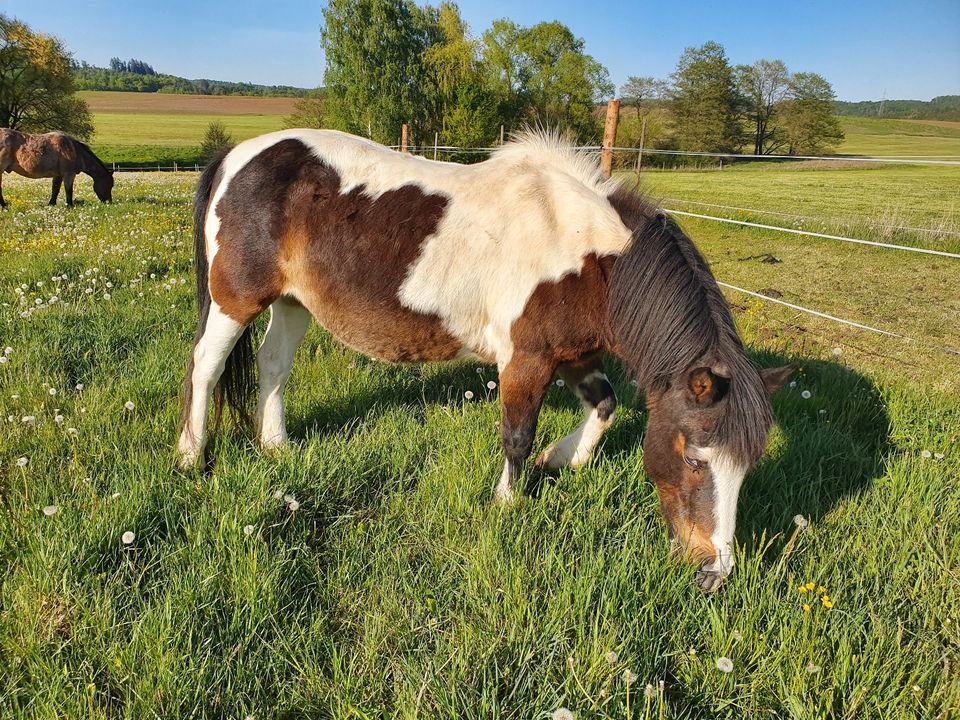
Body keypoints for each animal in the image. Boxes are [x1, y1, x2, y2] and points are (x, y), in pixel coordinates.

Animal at [176, 129, 792, 592]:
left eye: (747, 466)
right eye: (694, 459)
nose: (714, 571)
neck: (585, 254)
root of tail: (235, 154)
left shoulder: (573, 356)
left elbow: (606, 405)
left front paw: (562, 459)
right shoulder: (527, 360)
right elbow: (517, 435)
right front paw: (507, 503)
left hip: (293, 301)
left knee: (273, 366)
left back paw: (275, 446)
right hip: (236, 298)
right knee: (205, 366)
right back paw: (190, 456)